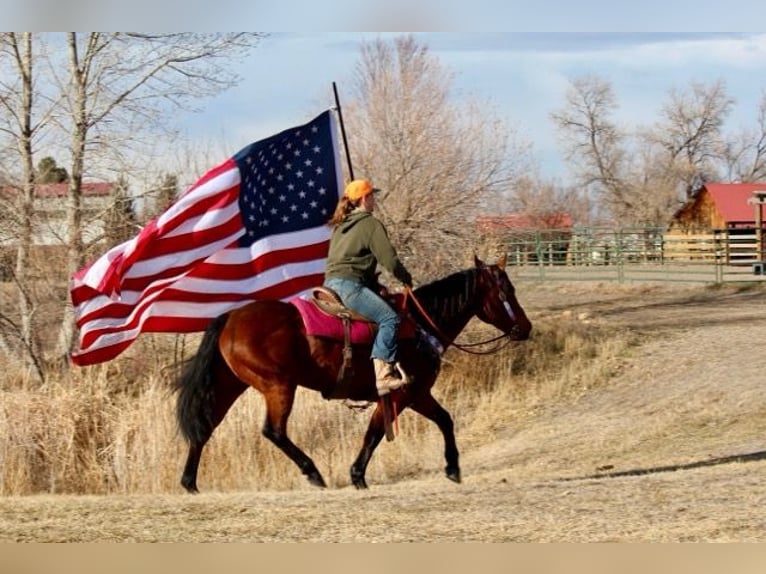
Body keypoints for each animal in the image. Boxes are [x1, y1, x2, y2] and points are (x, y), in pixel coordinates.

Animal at [174, 256, 536, 496]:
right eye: (507, 291)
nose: (526, 327)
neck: (421, 324)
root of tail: (231, 316)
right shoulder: (402, 394)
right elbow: (374, 434)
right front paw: (357, 475)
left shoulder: (418, 394)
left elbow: (444, 419)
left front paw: (453, 467)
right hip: (279, 386)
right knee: (273, 431)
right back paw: (314, 473)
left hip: (230, 384)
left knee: (204, 428)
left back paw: (190, 483)